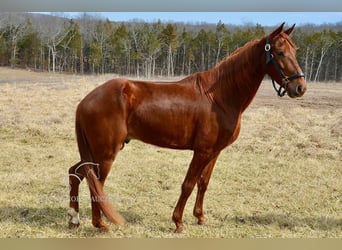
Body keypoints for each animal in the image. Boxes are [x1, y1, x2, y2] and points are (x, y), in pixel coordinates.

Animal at [67, 23, 308, 232]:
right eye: (279, 52)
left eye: (294, 50)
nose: (300, 87)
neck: (219, 96)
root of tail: (86, 100)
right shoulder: (201, 151)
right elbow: (188, 184)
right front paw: (178, 222)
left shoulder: (214, 152)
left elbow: (203, 183)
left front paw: (200, 217)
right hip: (106, 153)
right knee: (95, 182)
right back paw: (100, 224)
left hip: (95, 151)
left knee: (76, 173)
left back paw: (74, 218)